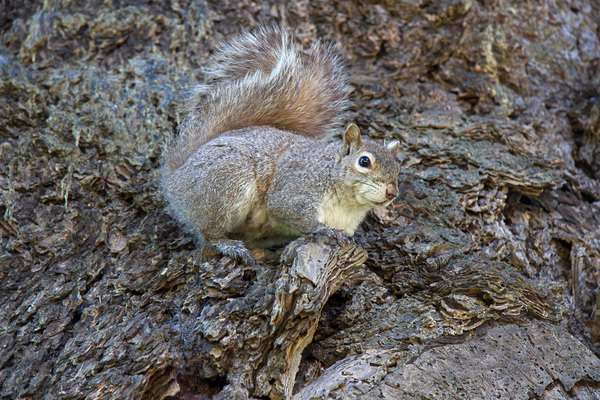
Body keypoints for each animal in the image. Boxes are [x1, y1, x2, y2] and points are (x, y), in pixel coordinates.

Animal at [162, 27, 400, 266]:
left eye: (399, 168)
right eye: (364, 161)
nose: (392, 192)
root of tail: (174, 179)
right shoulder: (296, 189)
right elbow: (291, 212)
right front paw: (326, 231)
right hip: (225, 182)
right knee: (208, 231)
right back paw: (229, 245)